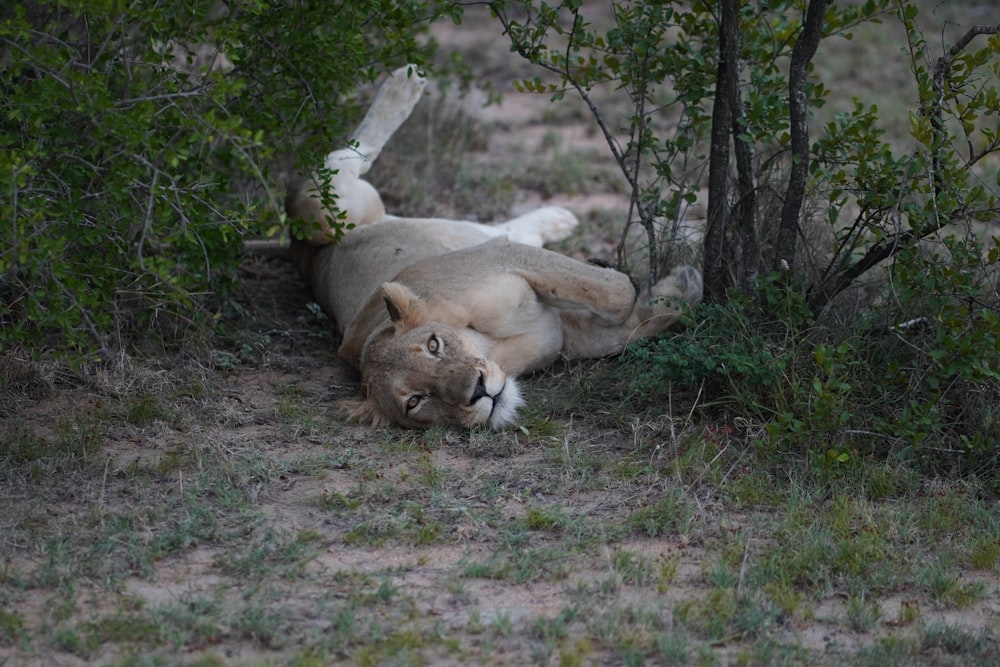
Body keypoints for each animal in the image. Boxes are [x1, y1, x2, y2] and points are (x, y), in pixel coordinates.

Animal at [282, 64, 704, 428]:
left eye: (434, 345)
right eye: (415, 401)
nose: (479, 391)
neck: (492, 349)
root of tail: (302, 253)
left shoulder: (500, 258)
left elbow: (616, 295)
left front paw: (675, 285)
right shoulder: (566, 333)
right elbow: (630, 325)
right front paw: (679, 289)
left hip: (325, 213)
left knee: (351, 155)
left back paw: (404, 83)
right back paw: (558, 219)